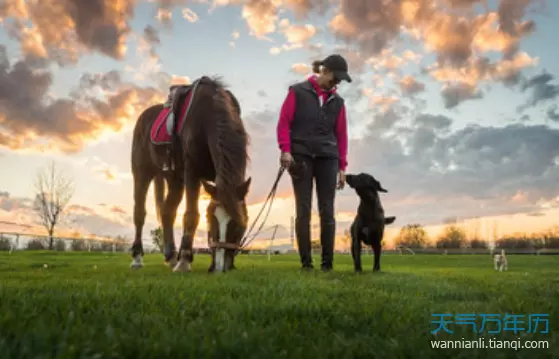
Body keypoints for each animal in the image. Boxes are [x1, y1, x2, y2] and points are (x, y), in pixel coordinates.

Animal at [129, 76, 252, 272]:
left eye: (240, 223)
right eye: (211, 219)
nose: (219, 267)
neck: (208, 117)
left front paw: (182, 258)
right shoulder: (192, 173)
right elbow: (191, 215)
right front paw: (185, 260)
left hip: (174, 180)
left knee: (167, 212)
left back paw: (171, 256)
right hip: (142, 173)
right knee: (139, 213)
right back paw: (137, 258)